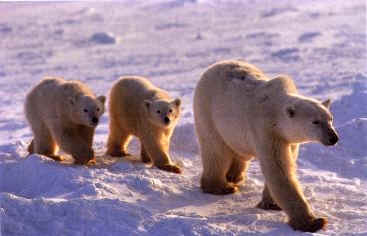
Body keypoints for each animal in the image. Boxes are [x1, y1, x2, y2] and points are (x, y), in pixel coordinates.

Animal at [194, 59, 340, 232]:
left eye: (330, 118)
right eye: (315, 122)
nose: (333, 138)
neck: (276, 112)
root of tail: (213, 66)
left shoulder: (288, 140)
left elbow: (285, 163)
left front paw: (272, 204)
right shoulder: (267, 131)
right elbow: (278, 170)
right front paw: (313, 222)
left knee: (238, 152)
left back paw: (234, 176)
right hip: (207, 111)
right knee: (216, 150)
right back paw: (221, 186)